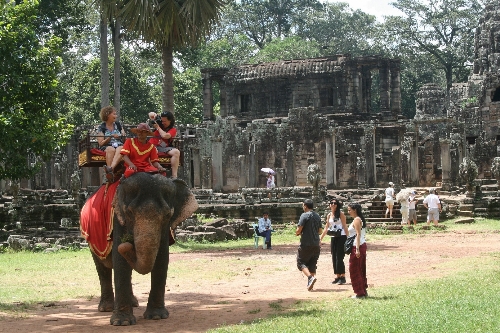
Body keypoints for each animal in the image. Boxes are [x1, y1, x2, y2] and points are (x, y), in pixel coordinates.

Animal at [86, 172, 197, 326]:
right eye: (130, 212)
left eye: (167, 215)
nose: (127, 244)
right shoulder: (117, 218)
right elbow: (119, 260)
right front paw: (122, 322)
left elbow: (162, 257)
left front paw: (157, 316)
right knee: (102, 268)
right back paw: (106, 308)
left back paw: (133, 303)